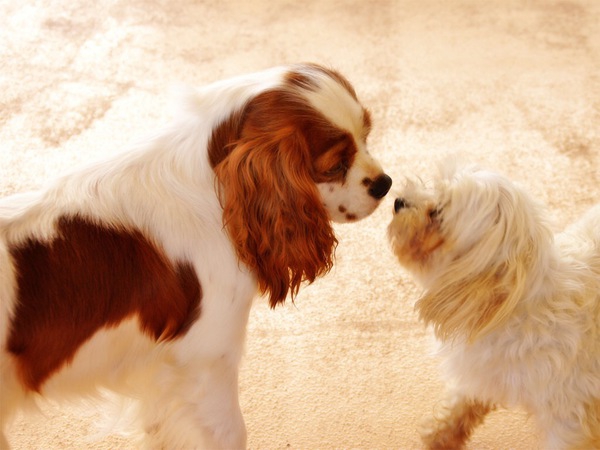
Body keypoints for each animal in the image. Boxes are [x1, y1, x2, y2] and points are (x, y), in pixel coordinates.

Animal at [0, 64, 392, 450]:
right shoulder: (207, 359)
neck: (210, 189)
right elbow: (230, 433)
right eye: (336, 164)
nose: (384, 183)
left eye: (367, 136)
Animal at [386, 163, 596, 450]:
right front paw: (439, 436)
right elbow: (461, 403)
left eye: (437, 213)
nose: (399, 201)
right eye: (433, 187)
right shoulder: (482, 371)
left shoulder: (569, 419)